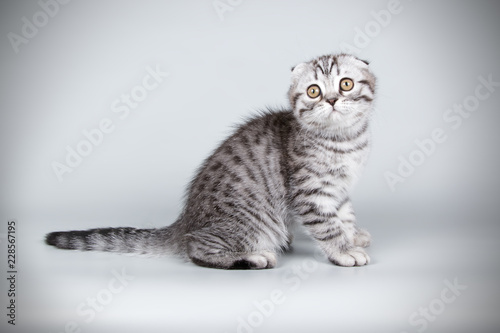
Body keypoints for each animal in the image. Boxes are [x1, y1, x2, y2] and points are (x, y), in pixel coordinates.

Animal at [46, 53, 376, 268]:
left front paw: (352, 235)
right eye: (313, 91)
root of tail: (183, 223)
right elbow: (327, 225)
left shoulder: (339, 189)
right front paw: (343, 250)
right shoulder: (310, 193)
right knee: (198, 248)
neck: (344, 140)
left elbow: (344, 214)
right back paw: (252, 258)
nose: (331, 100)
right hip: (251, 223)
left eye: (346, 84)